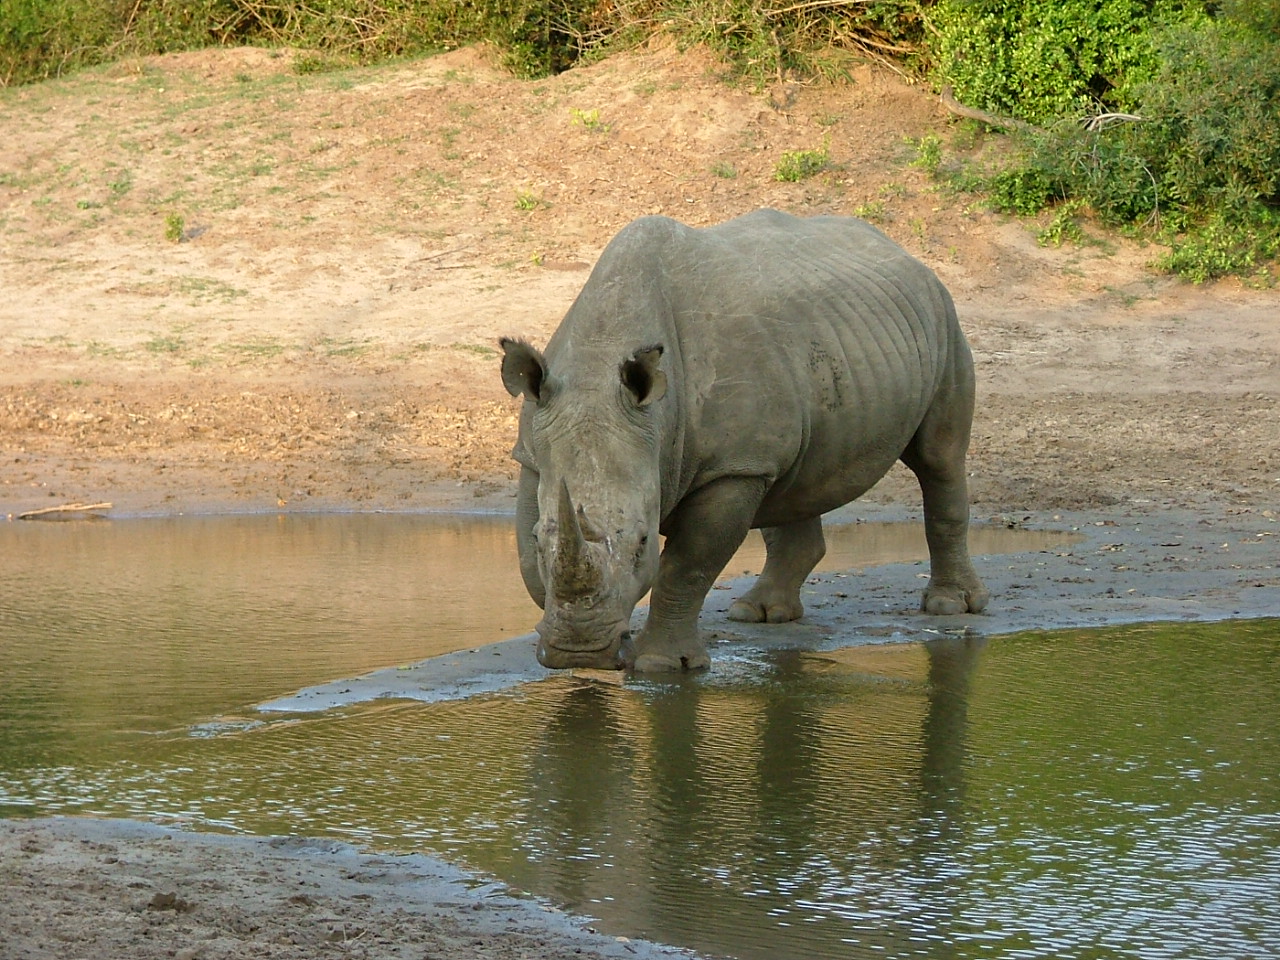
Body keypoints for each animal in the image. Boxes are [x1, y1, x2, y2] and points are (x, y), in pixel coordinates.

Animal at [500, 209, 988, 672]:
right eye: (542, 542)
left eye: (641, 544)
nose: (579, 652)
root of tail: (904, 252)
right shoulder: (535, 452)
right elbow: (525, 556)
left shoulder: (731, 467)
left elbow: (687, 566)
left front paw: (660, 664)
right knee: (794, 479)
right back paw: (761, 614)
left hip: (943, 317)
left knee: (939, 458)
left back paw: (950, 606)